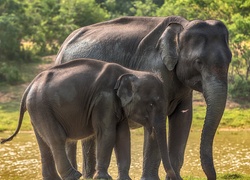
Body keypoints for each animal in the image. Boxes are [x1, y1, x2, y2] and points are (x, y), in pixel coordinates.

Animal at [0, 58, 176, 179]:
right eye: (151, 104)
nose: (174, 177)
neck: (130, 72)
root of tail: (29, 86)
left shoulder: (117, 105)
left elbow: (123, 136)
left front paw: (125, 178)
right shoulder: (104, 100)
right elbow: (107, 133)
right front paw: (104, 178)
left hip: (37, 110)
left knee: (44, 143)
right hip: (42, 107)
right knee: (57, 139)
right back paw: (74, 176)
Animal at [55, 16, 231, 179]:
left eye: (229, 60)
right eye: (198, 62)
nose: (209, 176)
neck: (182, 26)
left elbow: (183, 119)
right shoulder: (154, 68)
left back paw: (88, 176)